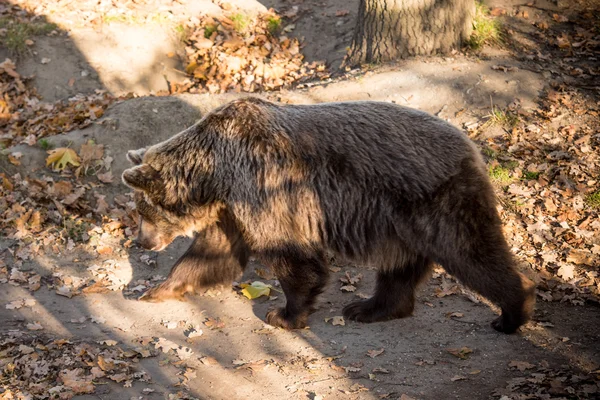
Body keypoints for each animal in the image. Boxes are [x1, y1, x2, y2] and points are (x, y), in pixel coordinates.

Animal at [122, 97, 536, 334]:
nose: (141, 241)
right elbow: (211, 255)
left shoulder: (266, 189)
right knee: (399, 267)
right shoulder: (233, 208)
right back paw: (370, 307)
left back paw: (511, 312)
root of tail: (471, 145)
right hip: (401, 222)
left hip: (439, 201)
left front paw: (284, 315)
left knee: (473, 254)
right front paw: (155, 289)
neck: (214, 172)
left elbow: (293, 257)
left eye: (142, 210)